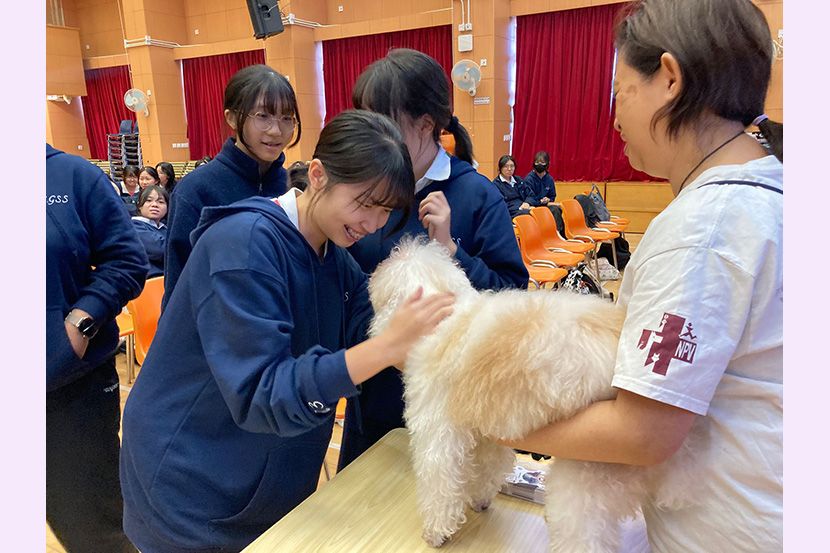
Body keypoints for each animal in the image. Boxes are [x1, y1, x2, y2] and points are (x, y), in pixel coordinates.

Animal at [368, 237, 705, 552]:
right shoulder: (486, 432)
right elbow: (486, 470)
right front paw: (479, 500)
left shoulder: (438, 433)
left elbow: (439, 484)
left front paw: (436, 532)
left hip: (586, 474)